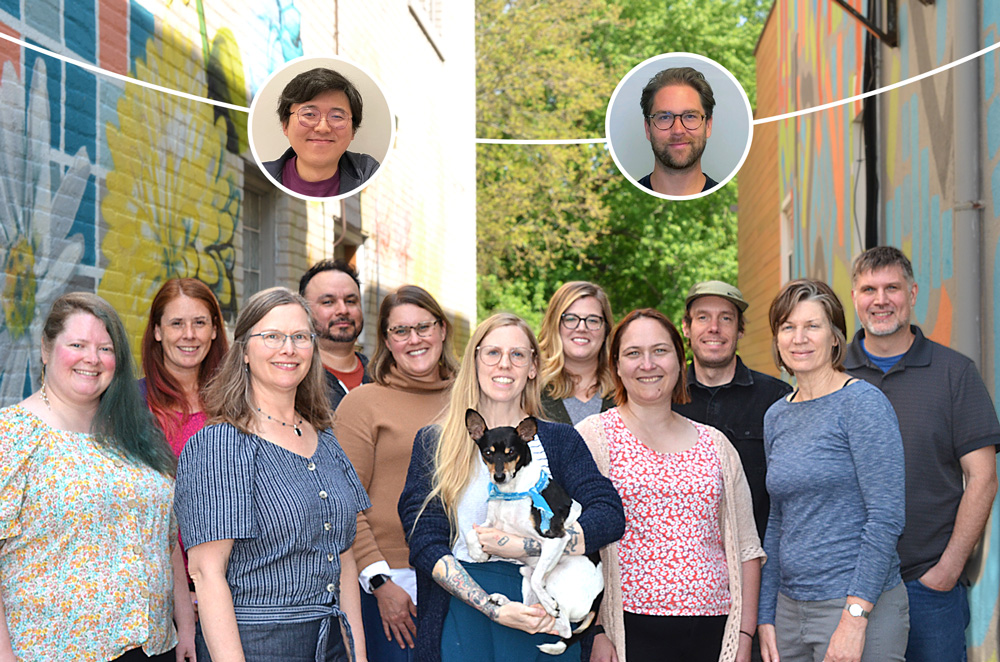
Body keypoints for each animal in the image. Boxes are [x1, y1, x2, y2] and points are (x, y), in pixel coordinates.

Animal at [466, 408, 604, 656]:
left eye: (511, 452)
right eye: (488, 453)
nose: (499, 477)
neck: (511, 491)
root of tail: (598, 600)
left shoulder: (555, 538)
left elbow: (541, 576)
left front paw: (549, 603)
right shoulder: (492, 523)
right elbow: (472, 533)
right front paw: (478, 553)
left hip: (558, 580)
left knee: (564, 627)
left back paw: (549, 607)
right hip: (525, 577)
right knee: (530, 608)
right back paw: (504, 602)